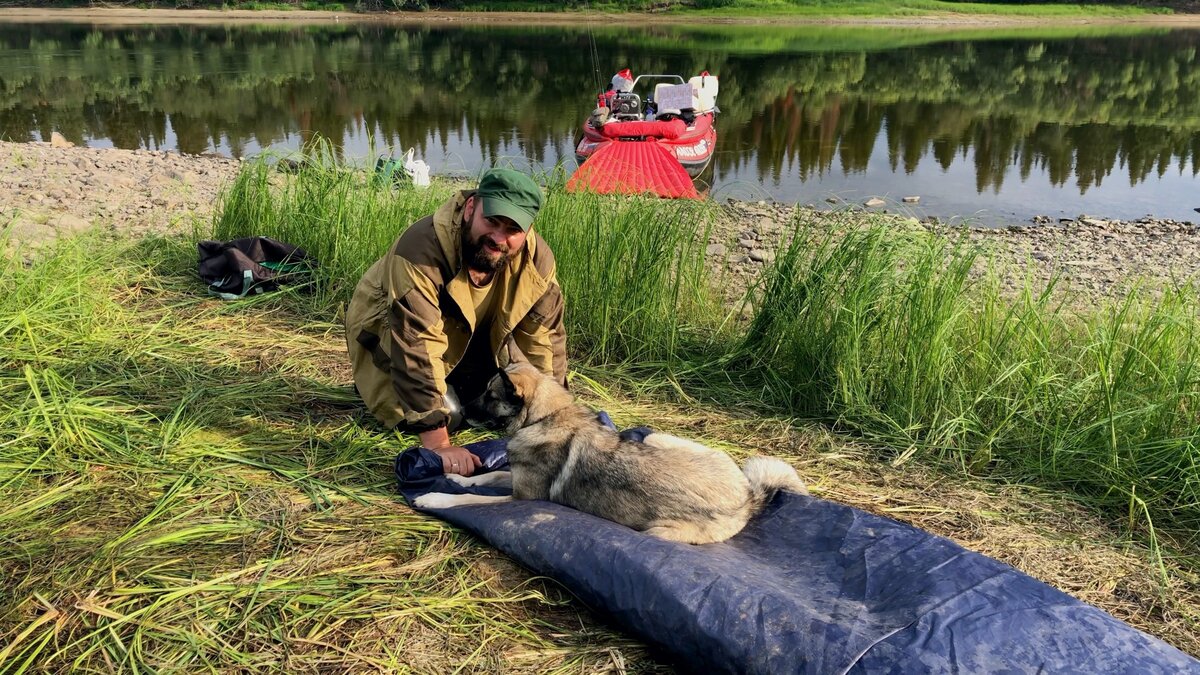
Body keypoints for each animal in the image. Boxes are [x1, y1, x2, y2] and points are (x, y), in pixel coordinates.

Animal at [412, 360, 806, 542]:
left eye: (490, 396)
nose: (458, 414)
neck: (545, 416)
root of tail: (748, 496)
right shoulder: (516, 475)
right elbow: (490, 473)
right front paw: (455, 474)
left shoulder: (522, 498)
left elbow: (469, 499)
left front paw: (434, 497)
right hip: (654, 438)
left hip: (657, 531)